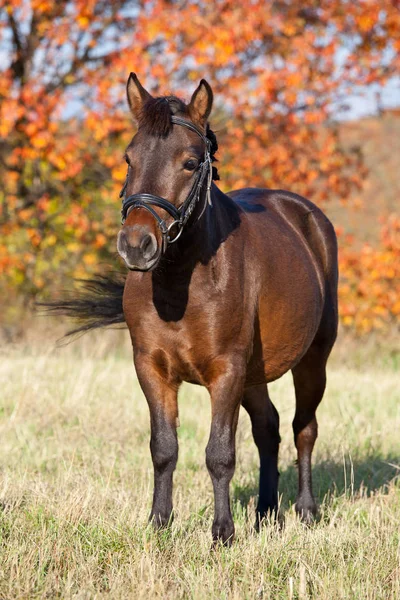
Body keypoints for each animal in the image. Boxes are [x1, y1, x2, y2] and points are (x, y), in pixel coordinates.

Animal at [49, 74, 338, 544]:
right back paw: (265, 513)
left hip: (312, 359)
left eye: (188, 162)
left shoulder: (226, 371)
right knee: (269, 429)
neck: (183, 285)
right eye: (128, 158)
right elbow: (164, 448)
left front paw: (222, 533)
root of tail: (306, 215)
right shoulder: (152, 369)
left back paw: (306, 510)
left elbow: (219, 453)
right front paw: (159, 523)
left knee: (304, 429)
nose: (136, 245)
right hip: (254, 375)